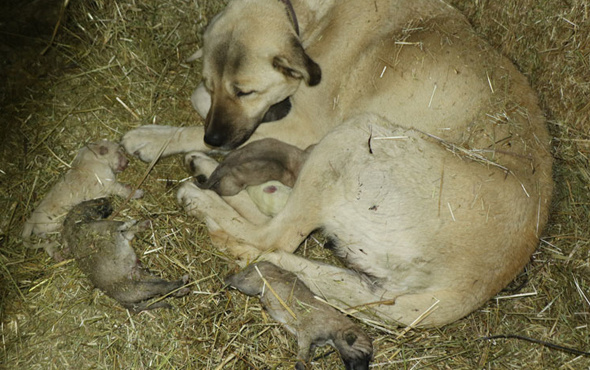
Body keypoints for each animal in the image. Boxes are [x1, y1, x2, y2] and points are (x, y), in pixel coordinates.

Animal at [123, 0, 556, 326]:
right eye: (213, 84)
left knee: (271, 239)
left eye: (245, 92)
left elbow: (195, 125)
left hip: (352, 137)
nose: (216, 140)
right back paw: (208, 172)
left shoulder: (302, 125)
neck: (312, 18)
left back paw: (200, 196)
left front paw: (154, 138)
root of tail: (474, 285)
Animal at [224, 262, 372, 368]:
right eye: (361, 353)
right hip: (249, 285)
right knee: (236, 280)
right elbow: (302, 357)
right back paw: (226, 281)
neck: (334, 328)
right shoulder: (305, 335)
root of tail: (259, 262)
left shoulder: (312, 342)